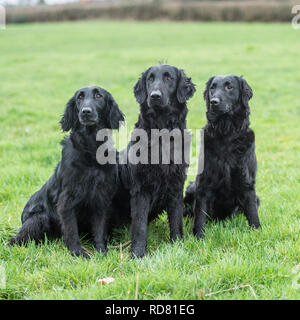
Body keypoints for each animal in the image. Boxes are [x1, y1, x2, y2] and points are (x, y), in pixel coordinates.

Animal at [9, 85, 124, 258]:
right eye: (79, 97)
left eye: (99, 96)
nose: (85, 112)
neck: (90, 148)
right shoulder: (67, 200)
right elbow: (71, 230)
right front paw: (77, 252)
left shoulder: (101, 198)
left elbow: (99, 229)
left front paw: (101, 251)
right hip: (39, 218)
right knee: (15, 240)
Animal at [118, 64, 196, 258]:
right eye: (150, 79)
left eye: (169, 78)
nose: (154, 96)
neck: (162, 134)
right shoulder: (141, 189)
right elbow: (139, 226)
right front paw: (137, 254)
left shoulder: (176, 185)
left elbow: (176, 221)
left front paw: (178, 246)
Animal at [184, 75, 258, 238]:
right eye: (213, 87)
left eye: (229, 87)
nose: (214, 102)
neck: (227, 132)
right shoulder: (203, 184)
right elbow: (199, 216)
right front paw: (198, 238)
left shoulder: (247, 182)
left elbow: (253, 214)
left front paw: (258, 232)